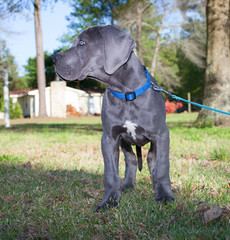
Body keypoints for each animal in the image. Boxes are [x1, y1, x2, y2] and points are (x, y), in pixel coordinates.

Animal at [52, 25, 174, 211]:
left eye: (82, 43)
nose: (53, 59)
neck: (125, 92)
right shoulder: (109, 138)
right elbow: (111, 173)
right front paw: (109, 201)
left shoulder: (161, 135)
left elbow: (162, 167)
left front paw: (165, 196)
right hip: (125, 142)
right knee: (131, 160)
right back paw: (128, 186)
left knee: (151, 159)